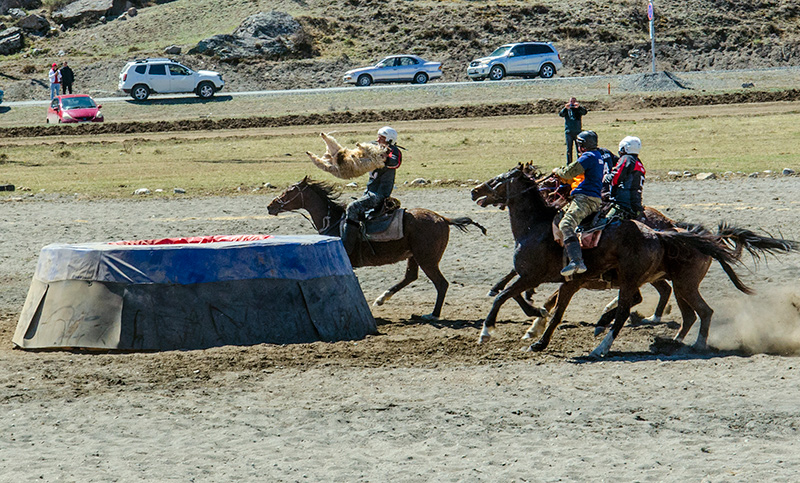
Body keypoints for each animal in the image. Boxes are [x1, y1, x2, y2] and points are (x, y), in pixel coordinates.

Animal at [268, 178, 488, 322]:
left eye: (289, 192)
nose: (270, 206)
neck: (336, 222)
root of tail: (443, 218)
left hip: (427, 260)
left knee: (441, 284)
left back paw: (432, 315)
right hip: (414, 256)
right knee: (410, 277)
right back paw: (382, 298)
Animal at [468, 164, 788, 358]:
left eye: (497, 180)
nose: (474, 191)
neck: (537, 225)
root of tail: (663, 232)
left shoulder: (532, 275)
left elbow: (506, 297)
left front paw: (487, 331)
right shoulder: (566, 282)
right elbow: (551, 309)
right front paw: (537, 332)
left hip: (667, 282)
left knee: (651, 309)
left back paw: (608, 344)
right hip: (673, 283)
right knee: (684, 312)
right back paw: (669, 338)